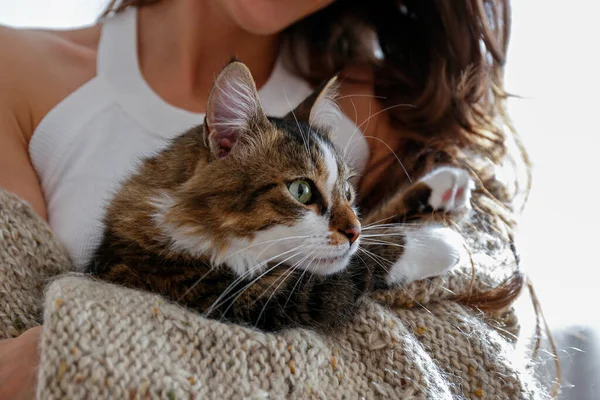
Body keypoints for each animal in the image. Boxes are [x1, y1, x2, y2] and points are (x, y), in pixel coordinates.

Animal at [88, 60, 474, 332]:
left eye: (348, 193)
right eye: (301, 190)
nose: (353, 232)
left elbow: (376, 225)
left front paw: (444, 185)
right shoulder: (238, 301)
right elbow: (359, 263)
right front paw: (438, 239)